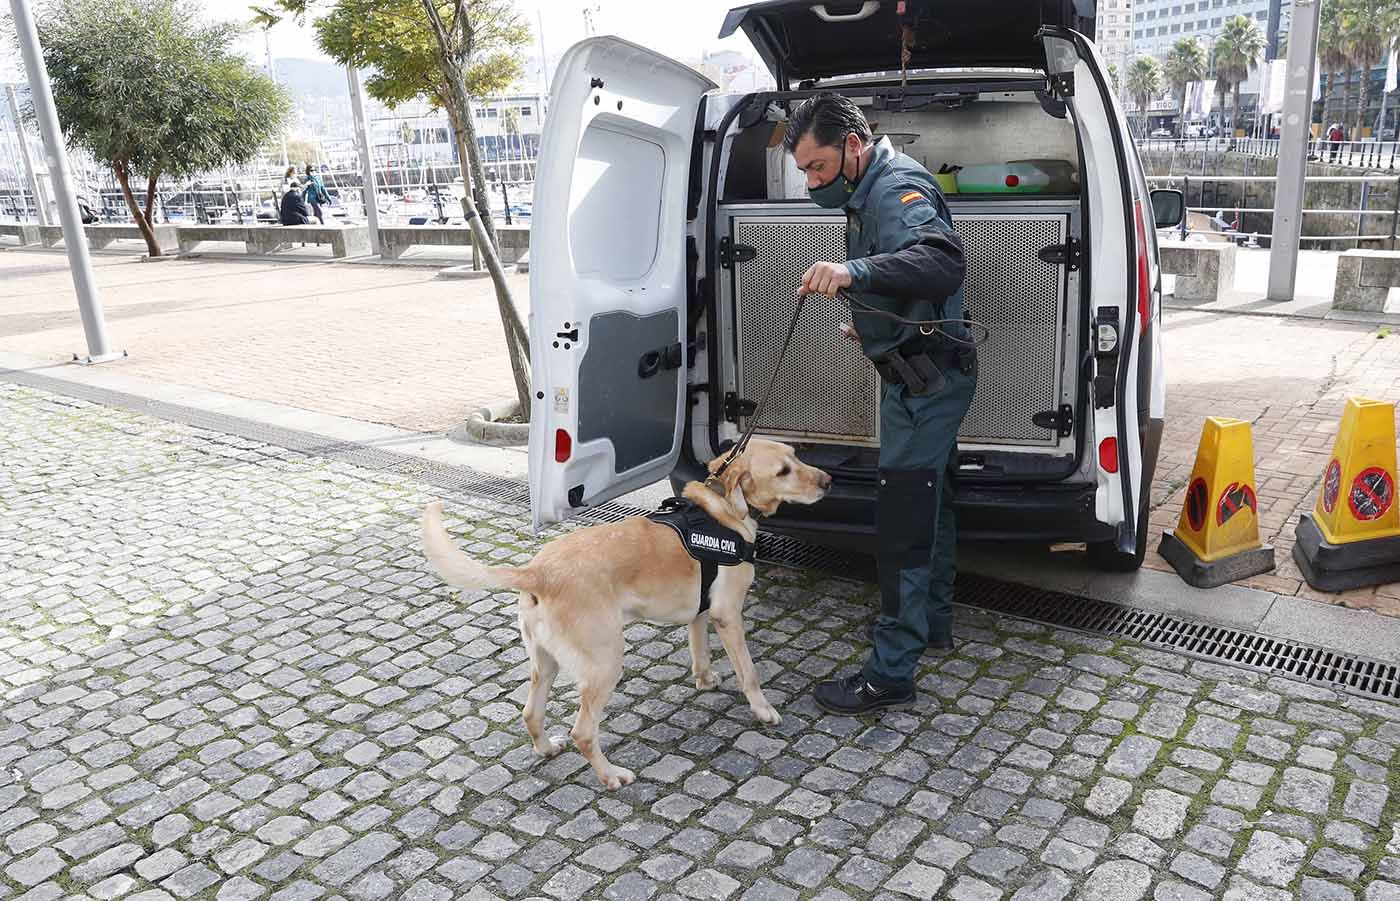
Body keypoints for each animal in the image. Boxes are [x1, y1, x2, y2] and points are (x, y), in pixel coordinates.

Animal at [420, 439, 823, 789]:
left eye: (796, 455)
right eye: (784, 470)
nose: (827, 481)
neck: (722, 510)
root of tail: (537, 572)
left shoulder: (701, 612)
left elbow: (699, 651)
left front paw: (705, 680)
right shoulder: (728, 614)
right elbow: (749, 673)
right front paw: (763, 710)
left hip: (545, 663)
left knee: (531, 714)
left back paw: (547, 749)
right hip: (606, 663)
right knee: (583, 732)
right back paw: (611, 775)